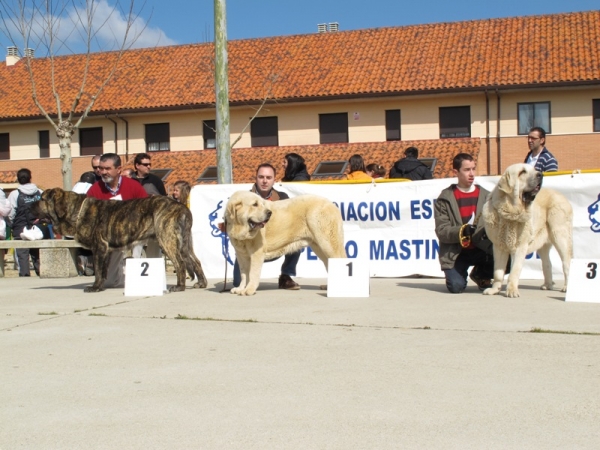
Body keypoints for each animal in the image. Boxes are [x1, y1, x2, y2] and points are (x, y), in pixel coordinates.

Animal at [31, 186, 209, 292]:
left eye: (42, 199)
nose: (28, 206)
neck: (77, 210)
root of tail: (181, 206)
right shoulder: (105, 250)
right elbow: (103, 270)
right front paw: (101, 286)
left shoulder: (99, 248)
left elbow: (98, 270)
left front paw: (94, 287)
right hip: (184, 243)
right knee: (195, 261)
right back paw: (201, 283)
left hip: (167, 240)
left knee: (180, 263)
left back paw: (179, 286)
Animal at [482, 163, 572, 298]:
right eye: (522, 172)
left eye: (534, 169)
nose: (540, 174)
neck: (510, 211)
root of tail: (561, 195)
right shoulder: (499, 246)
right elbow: (498, 272)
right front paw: (494, 290)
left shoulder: (520, 246)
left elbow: (514, 271)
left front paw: (512, 291)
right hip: (542, 243)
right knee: (547, 263)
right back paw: (547, 285)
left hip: (560, 236)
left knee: (566, 263)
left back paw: (567, 287)